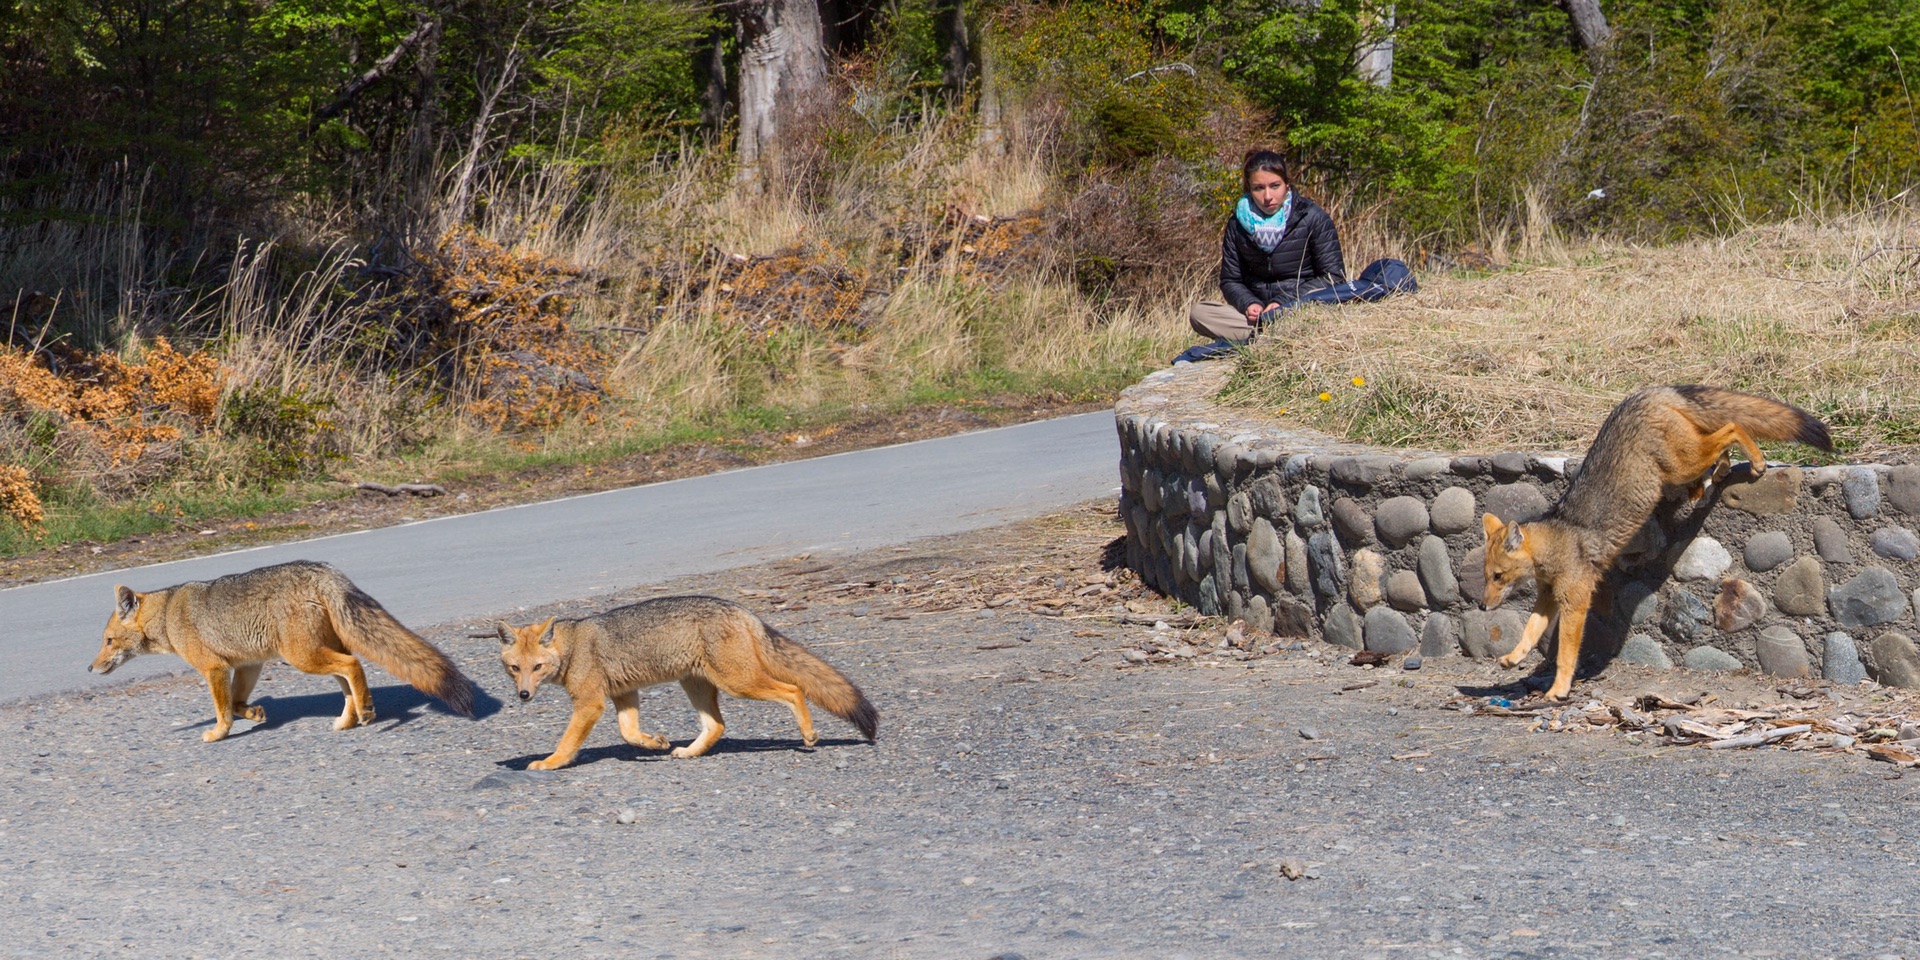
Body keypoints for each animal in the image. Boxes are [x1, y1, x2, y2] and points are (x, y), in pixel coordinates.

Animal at [499, 595, 879, 768]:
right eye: (515, 668)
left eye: (537, 667)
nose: (524, 695)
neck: (573, 645)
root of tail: (740, 608)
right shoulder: (625, 694)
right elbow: (629, 733)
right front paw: (654, 744)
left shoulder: (590, 703)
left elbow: (567, 742)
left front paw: (550, 763)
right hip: (697, 685)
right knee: (717, 726)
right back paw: (689, 752)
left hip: (738, 683)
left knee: (794, 689)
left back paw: (809, 735)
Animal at [1474, 382, 1835, 698]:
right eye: (1486, 577)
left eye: (1498, 576)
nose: (1481, 606)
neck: (1559, 539)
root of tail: (1648, 392)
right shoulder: (1548, 599)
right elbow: (1528, 633)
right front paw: (1512, 658)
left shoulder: (1575, 602)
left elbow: (1565, 654)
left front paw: (1559, 689)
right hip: (1687, 463)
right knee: (1721, 443)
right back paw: (1720, 472)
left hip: (1682, 465)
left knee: (1731, 427)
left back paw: (1755, 461)